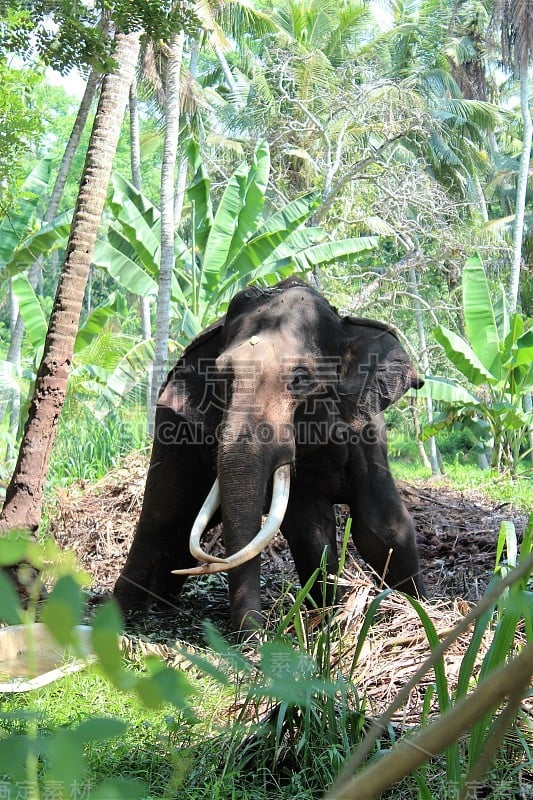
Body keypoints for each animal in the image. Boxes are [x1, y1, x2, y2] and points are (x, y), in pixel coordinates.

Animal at [114, 278, 426, 636]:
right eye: (221, 377)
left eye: (300, 379)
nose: (251, 638)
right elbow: (310, 530)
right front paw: (326, 623)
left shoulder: (368, 429)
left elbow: (381, 527)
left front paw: (420, 609)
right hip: (173, 430)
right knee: (163, 518)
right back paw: (119, 618)